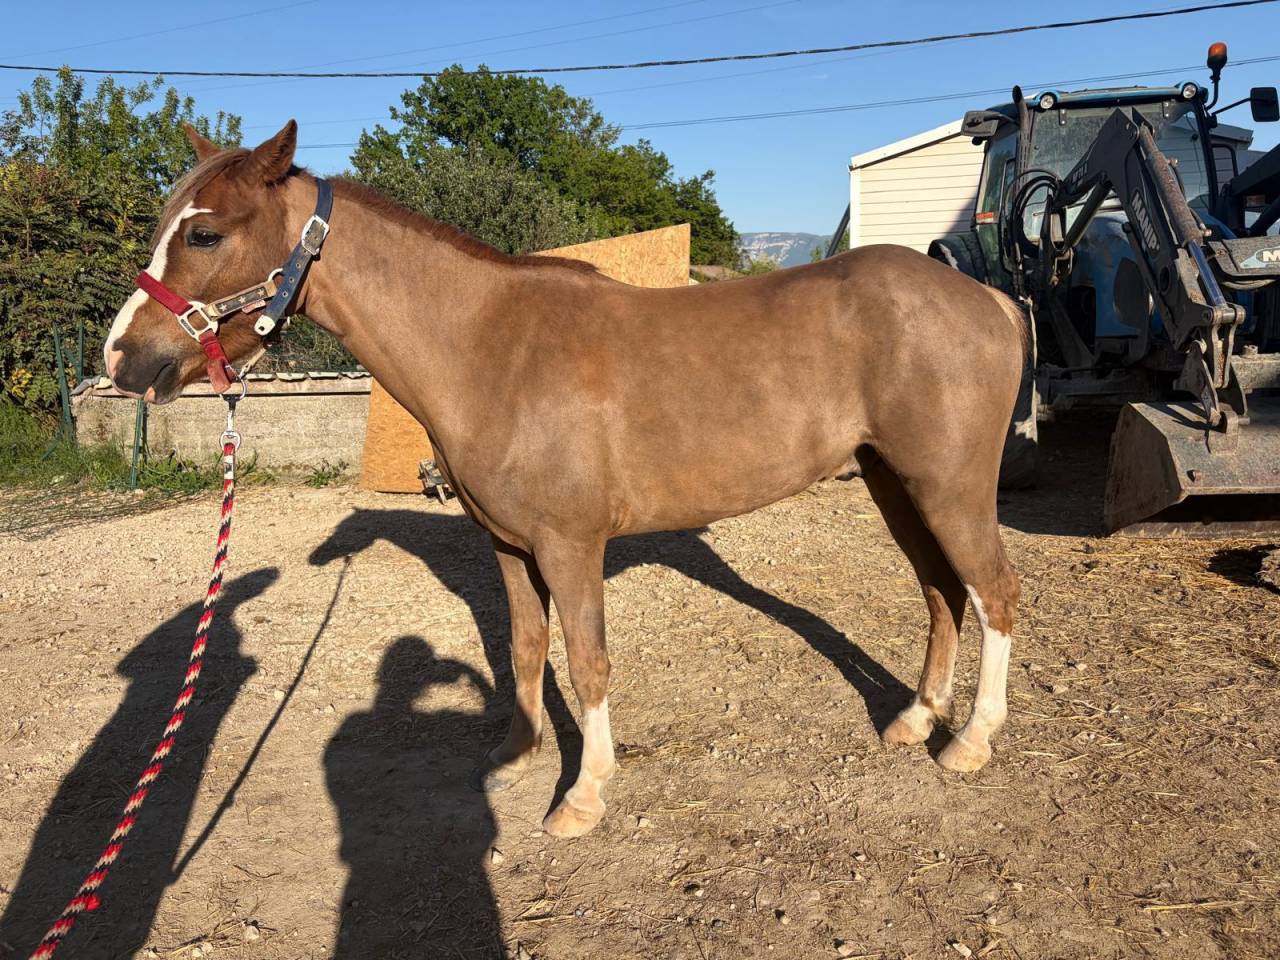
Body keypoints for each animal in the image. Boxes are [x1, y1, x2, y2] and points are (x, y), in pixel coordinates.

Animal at [104, 121, 1024, 839]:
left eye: (205, 235)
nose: (123, 359)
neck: (489, 346)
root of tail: (987, 299)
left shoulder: (572, 547)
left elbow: (587, 662)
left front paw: (583, 796)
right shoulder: (512, 548)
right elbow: (524, 648)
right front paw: (516, 759)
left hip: (947, 488)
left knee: (993, 593)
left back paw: (970, 743)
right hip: (894, 485)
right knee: (942, 592)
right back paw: (914, 719)